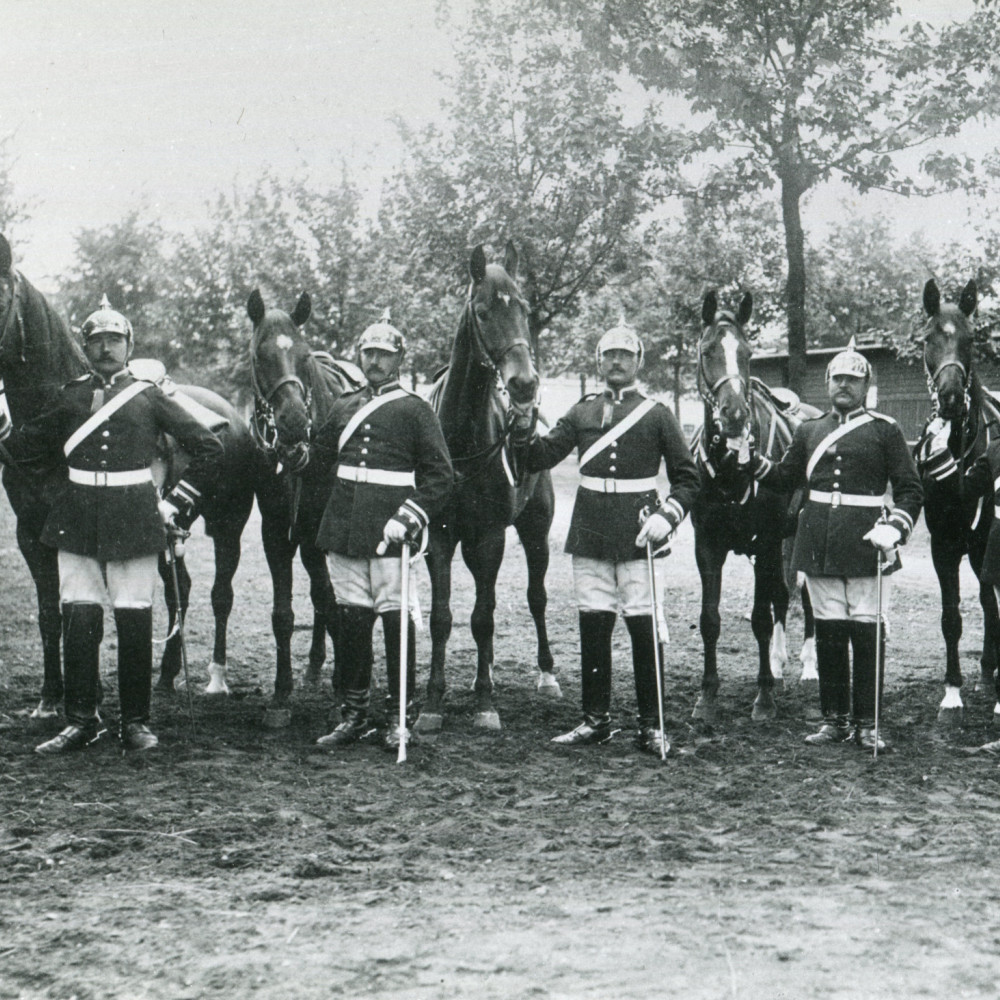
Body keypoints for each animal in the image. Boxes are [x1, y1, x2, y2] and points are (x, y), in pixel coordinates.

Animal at [0, 230, 256, 716]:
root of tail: (233, 416)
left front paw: (90, 698)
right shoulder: (33, 533)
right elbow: (50, 613)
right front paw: (50, 697)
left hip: (227, 525)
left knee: (220, 595)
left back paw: (215, 679)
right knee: (181, 590)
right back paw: (168, 674)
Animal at [246, 290, 364, 728]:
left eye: (304, 355)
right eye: (259, 356)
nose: (295, 421)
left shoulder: (318, 532)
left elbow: (332, 603)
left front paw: (343, 689)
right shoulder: (276, 533)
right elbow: (285, 613)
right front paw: (282, 694)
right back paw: (315, 665)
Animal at [418, 239, 560, 732]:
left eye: (524, 307)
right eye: (482, 312)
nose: (524, 384)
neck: (460, 440)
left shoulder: (492, 536)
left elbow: (483, 616)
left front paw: (484, 704)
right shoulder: (440, 537)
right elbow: (442, 618)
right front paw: (433, 702)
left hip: (535, 531)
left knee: (535, 598)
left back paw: (545, 675)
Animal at [688, 288, 820, 720]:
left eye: (746, 353)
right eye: (707, 350)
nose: (734, 415)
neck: (733, 468)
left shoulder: (765, 543)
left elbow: (761, 618)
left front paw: (764, 698)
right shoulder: (707, 545)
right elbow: (710, 619)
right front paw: (707, 695)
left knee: (803, 598)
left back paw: (809, 665)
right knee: (782, 595)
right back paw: (777, 663)